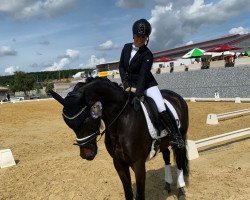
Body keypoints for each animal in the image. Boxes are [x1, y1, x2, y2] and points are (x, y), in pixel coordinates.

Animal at [49, 77, 188, 200]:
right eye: (69, 125)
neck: (122, 121)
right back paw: (167, 186)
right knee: (167, 156)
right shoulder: (119, 163)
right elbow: (128, 192)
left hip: (180, 139)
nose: (86, 155)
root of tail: (176, 96)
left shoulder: (138, 163)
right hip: (164, 143)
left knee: (180, 162)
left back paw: (181, 191)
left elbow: (140, 195)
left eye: (87, 120)